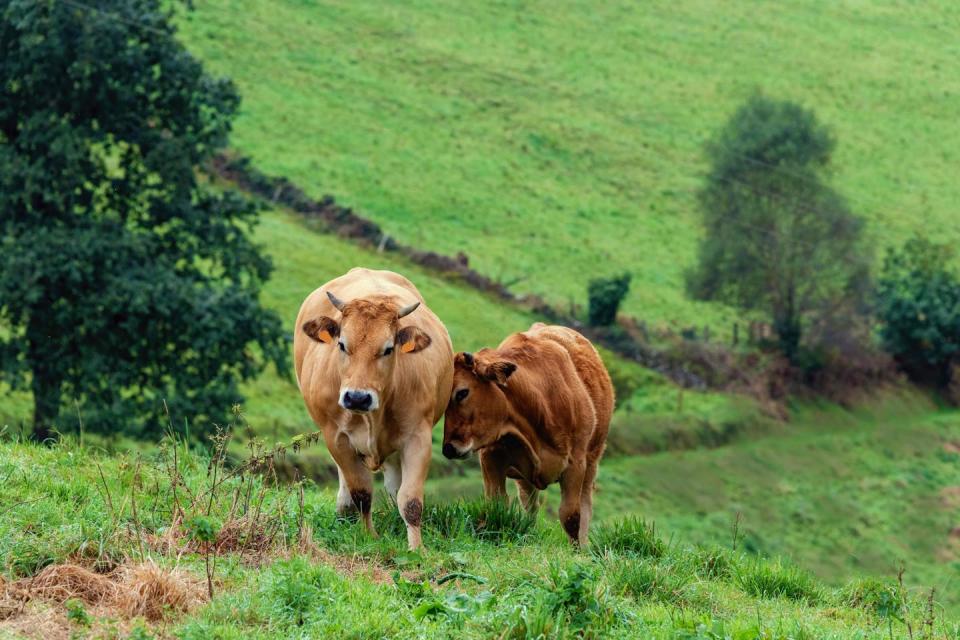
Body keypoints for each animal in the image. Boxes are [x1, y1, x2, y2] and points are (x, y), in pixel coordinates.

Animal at [292, 268, 454, 548]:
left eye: (388, 349)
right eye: (342, 344)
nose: (357, 398)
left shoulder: (418, 438)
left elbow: (410, 501)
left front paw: (416, 548)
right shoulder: (336, 438)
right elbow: (362, 493)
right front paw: (369, 535)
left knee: (395, 486)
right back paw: (344, 509)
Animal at [440, 324, 612, 544]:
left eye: (462, 392)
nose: (449, 448)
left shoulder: (576, 464)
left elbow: (572, 516)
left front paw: (577, 549)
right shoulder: (491, 458)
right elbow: (497, 506)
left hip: (592, 461)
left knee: (585, 505)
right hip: (525, 477)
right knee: (530, 505)